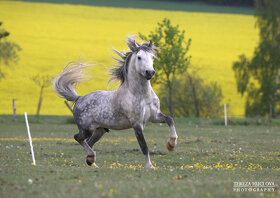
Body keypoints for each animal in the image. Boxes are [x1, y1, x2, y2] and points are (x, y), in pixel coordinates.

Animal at [53, 36, 178, 169]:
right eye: (139, 57)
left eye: (152, 57)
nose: (150, 72)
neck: (142, 95)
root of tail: (79, 98)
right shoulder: (137, 124)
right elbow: (144, 146)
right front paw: (150, 166)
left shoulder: (154, 116)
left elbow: (170, 119)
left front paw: (171, 145)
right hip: (87, 129)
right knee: (78, 138)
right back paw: (91, 157)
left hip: (100, 130)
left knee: (89, 142)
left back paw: (92, 162)